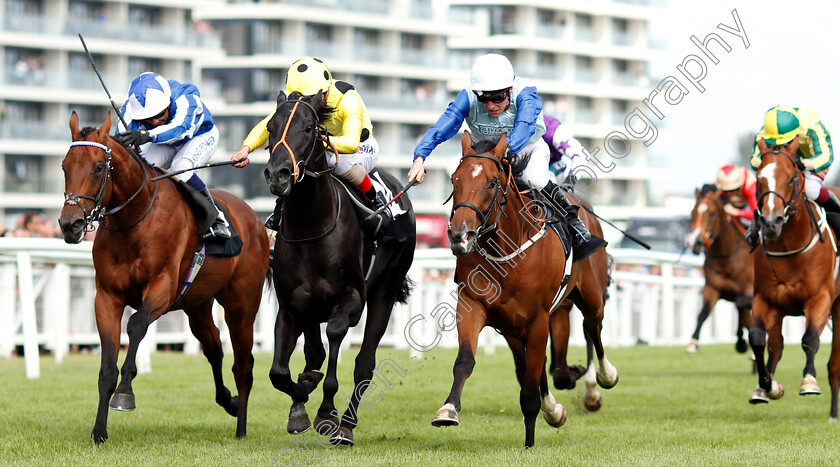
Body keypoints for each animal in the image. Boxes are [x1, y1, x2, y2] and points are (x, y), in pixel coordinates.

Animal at [58, 111, 270, 444]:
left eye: (99, 167)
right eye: (65, 166)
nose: (71, 224)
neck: (134, 220)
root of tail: (256, 221)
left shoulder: (162, 289)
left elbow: (136, 325)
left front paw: (125, 394)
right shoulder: (106, 297)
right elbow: (106, 369)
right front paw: (99, 431)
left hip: (242, 305)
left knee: (243, 364)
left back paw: (241, 428)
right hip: (197, 306)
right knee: (214, 348)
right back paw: (229, 401)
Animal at [264, 90, 416, 446]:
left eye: (308, 128)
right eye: (269, 127)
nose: (278, 175)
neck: (311, 226)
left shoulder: (351, 300)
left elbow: (334, 337)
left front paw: (326, 412)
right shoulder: (291, 306)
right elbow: (280, 371)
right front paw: (301, 400)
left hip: (386, 289)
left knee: (365, 362)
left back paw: (346, 423)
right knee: (314, 353)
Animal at [434, 133, 616, 450]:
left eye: (493, 182)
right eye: (455, 180)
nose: (460, 235)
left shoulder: (537, 319)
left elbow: (531, 387)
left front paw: (530, 441)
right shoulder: (477, 308)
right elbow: (466, 361)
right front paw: (448, 409)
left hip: (591, 297)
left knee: (593, 327)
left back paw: (603, 378)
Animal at [684, 185, 756, 352]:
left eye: (711, 213)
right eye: (692, 212)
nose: (695, 242)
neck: (727, 259)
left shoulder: (749, 290)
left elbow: (741, 306)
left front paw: (741, 342)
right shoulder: (712, 288)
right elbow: (703, 313)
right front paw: (693, 343)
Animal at [748, 138, 840, 420]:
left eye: (791, 178)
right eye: (758, 179)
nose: (770, 222)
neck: (790, 247)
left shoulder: (820, 298)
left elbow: (810, 339)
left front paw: (809, 382)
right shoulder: (765, 300)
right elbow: (757, 338)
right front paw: (767, 386)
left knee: (834, 364)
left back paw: (833, 414)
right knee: (776, 347)